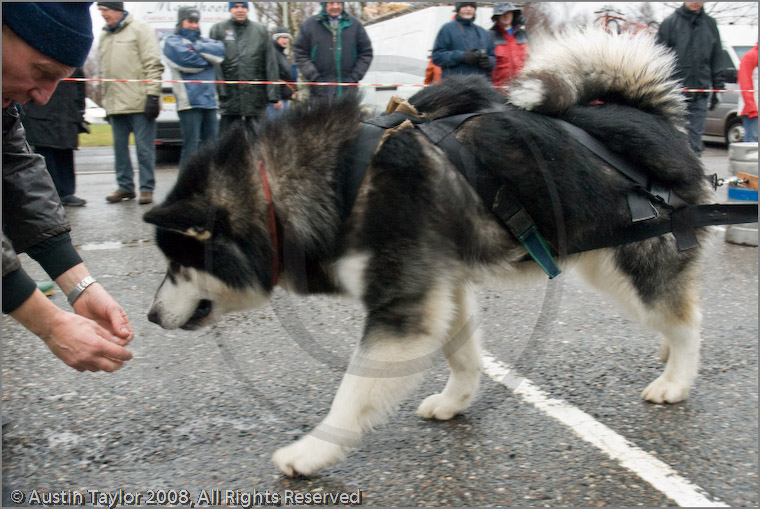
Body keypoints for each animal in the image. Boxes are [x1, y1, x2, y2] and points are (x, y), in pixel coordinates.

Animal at [145, 29, 716, 476]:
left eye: (176, 263)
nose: (148, 316)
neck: (334, 179)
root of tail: (655, 120)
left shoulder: (402, 309)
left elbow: (352, 394)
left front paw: (310, 452)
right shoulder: (443, 286)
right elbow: (462, 354)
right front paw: (455, 401)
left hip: (626, 266)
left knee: (686, 319)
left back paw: (676, 378)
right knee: (673, 311)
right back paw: (664, 354)